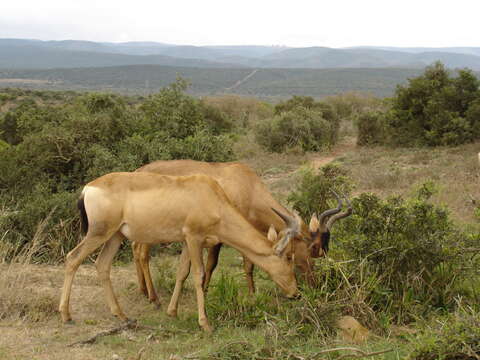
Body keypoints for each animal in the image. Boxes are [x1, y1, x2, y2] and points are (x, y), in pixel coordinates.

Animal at [59, 172, 300, 332]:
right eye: (288, 257)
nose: (295, 293)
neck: (210, 195)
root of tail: (88, 188)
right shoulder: (194, 239)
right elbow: (198, 275)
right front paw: (205, 323)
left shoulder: (185, 242)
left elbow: (182, 272)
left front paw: (172, 312)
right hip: (99, 233)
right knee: (72, 258)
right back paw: (66, 315)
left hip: (115, 236)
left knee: (102, 265)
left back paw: (122, 315)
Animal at [131, 159, 352, 314]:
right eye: (311, 248)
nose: (314, 286)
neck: (246, 185)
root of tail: (138, 171)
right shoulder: (220, 235)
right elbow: (214, 264)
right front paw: (209, 291)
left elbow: (246, 264)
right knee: (142, 253)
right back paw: (154, 299)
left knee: (135, 249)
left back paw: (143, 291)